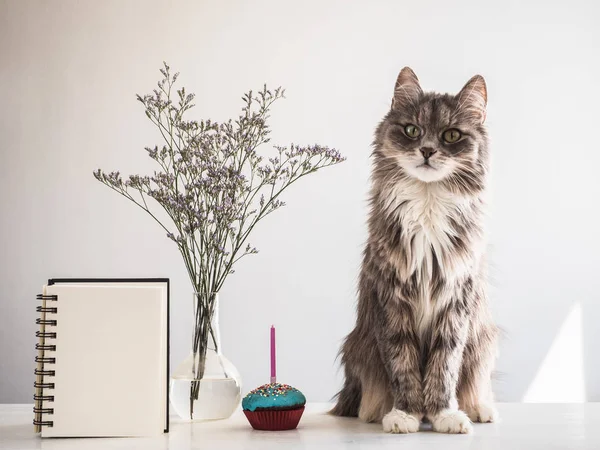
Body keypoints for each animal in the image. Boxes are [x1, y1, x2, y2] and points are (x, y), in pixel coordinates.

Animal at [332, 67, 496, 432]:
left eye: (451, 135)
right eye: (412, 130)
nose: (427, 151)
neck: (428, 201)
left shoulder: (456, 300)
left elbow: (444, 365)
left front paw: (443, 415)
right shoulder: (391, 297)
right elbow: (402, 364)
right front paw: (406, 414)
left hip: (483, 339)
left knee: (474, 382)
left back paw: (480, 409)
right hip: (358, 346)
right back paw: (374, 412)